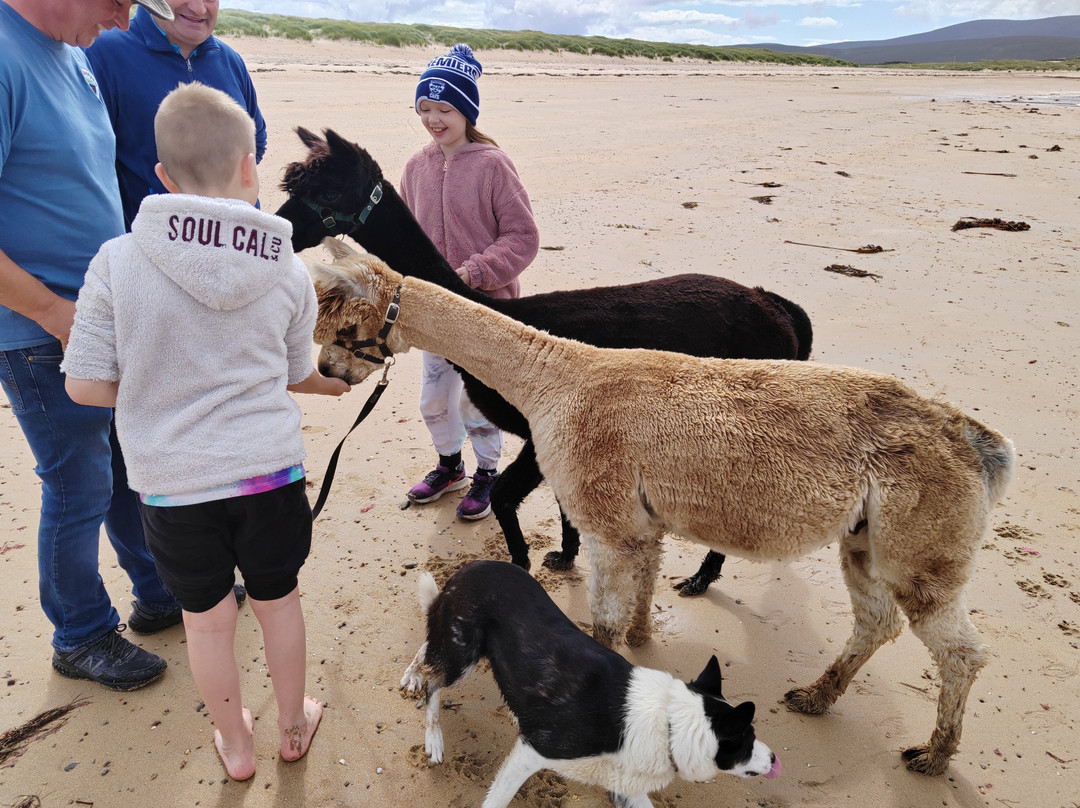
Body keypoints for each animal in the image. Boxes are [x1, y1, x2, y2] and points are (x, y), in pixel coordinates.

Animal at [401, 561, 781, 808]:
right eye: (746, 740)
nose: (775, 758)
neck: (669, 724)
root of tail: (466, 569)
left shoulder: (624, 781)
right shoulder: (533, 752)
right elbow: (497, 799)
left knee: (430, 642)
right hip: (463, 655)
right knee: (435, 682)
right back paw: (432, 732)